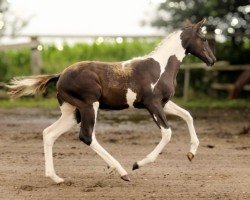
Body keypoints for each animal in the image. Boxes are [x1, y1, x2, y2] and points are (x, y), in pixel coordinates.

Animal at [7, 18, 215, 183]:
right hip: (89, 105)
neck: (160, 67)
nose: (212, 59)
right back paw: (121, 171)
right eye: (204, 38)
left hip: (72, 112)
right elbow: (167, 133)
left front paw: (191, 153)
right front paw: (138, 164)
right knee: (87, 136)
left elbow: (187, 115)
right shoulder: (152, 104)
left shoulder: (164, 103)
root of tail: (60, 76)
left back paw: (56, 178)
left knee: (49, 133)